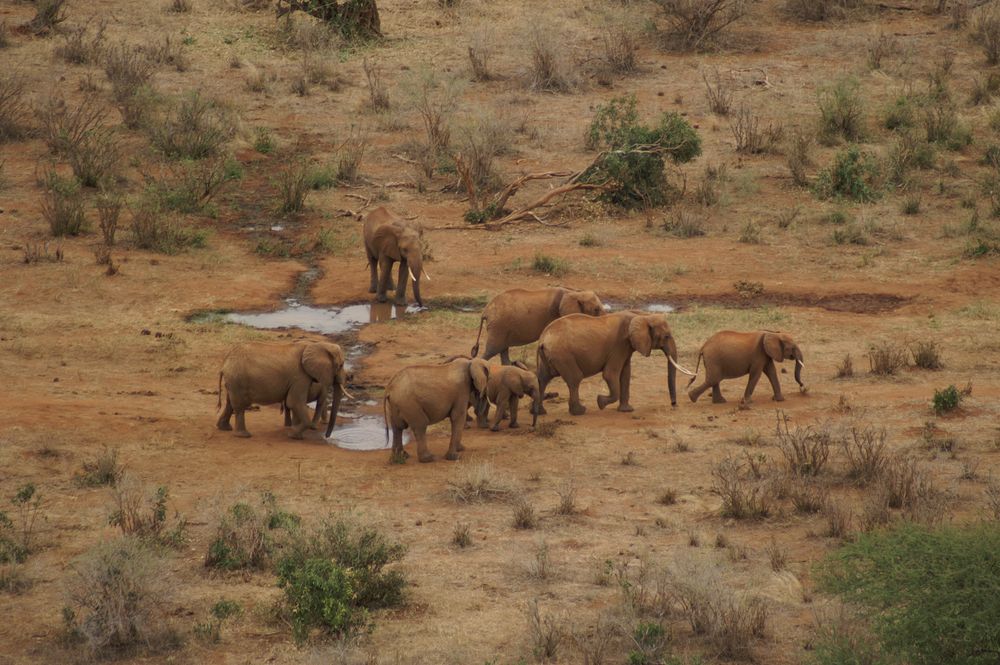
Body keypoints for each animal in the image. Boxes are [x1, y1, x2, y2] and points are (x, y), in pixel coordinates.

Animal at [216, 340, 352, 438]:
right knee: (239, 406)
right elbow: (295, 402)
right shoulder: (299, 376)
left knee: (230, 403)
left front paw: (294, 431)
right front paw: (293, 435)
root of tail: (224, 363)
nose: (327, 436)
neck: (316, 345)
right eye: (341, 365)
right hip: (237, 379)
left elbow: (293, 403)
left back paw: (224, 428)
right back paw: (244, 435)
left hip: (234, 381)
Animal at [468, 286, 600, 364]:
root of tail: (485, 311)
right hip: (498, 326)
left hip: (501, 327)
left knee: (502, 349)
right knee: (493, 350)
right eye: (596, 309)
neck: (574, 292)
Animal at [536, 312, 692, 416]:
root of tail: (543, 339)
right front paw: (600, 402)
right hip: (563, 356)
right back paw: (580, 411)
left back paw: (540, 412)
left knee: (542, 379)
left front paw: (627, 410)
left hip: (549, 357)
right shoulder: (619, 345)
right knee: (575, 379)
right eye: (666, 336)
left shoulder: (627, 346)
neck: (641, 315)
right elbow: (610, 374)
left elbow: (625, 374)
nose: (674, 405)